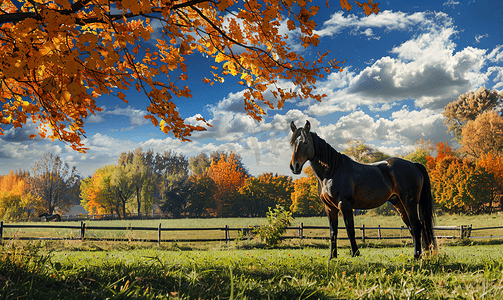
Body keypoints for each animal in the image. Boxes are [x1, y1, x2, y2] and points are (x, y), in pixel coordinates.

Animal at [292, 120, 438, 258]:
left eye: (305, 142)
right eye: (293, 143)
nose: (294, 166)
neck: (332, 172)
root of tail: (413, 164)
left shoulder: (344, 205)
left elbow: (350, 229)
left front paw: (355, 253)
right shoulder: (329, 208)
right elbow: (333, 232)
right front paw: (332, 257)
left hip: (409, 202)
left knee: (417, 226)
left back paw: (416, 256)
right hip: (399, 203)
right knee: (412, 227)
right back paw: (421, 254)